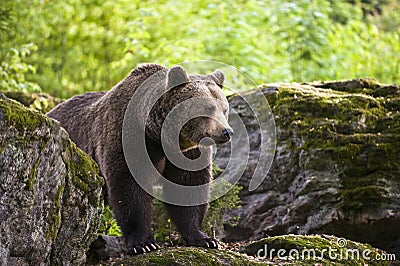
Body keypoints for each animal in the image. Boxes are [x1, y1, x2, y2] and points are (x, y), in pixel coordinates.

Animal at [47, 63, 233, 255]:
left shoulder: (188, 153)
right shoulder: (129, 139)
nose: (226, 132)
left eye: (224, 109)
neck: (161, 137)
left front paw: (204, 238)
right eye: (208, 108)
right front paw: (144, 243)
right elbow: (130, 188)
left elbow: (189, 187)